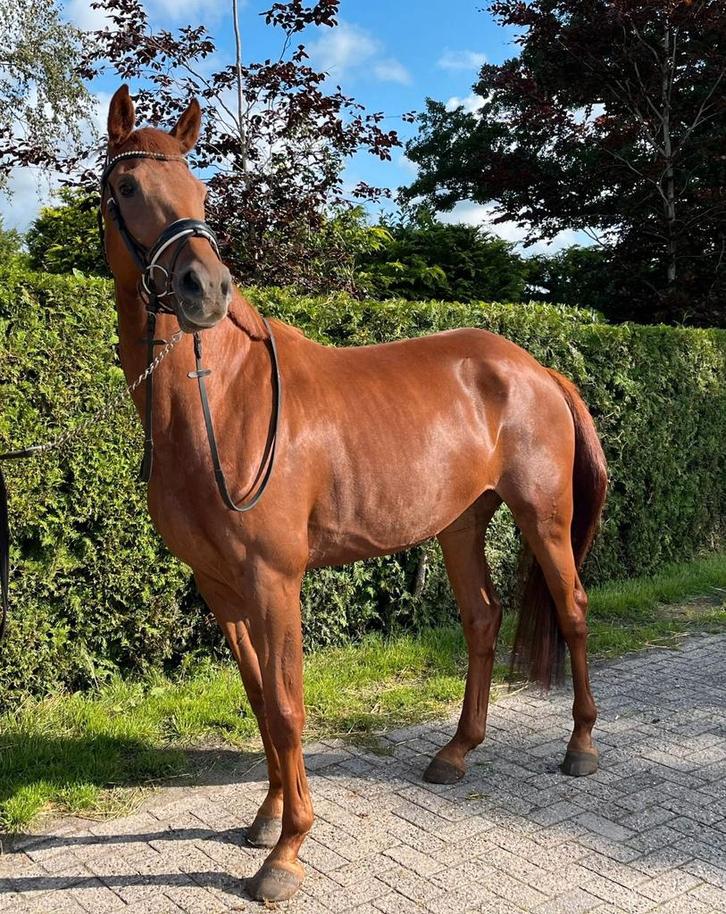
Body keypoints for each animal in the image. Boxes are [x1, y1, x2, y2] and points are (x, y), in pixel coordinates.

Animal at [101, 85, 608, 903]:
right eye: (126, 187)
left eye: (201, 192)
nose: (205, 289)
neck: (224, 400)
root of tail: (533, 367)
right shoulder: (220, 587)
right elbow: (258, 701)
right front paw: (267, 820)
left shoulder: (274, 582)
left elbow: (286, 707)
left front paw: (287, 852)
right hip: (459, 526)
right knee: (483, 619)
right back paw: (456, 753)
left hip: (545, 519)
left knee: (573, 611)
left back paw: (582, 746)